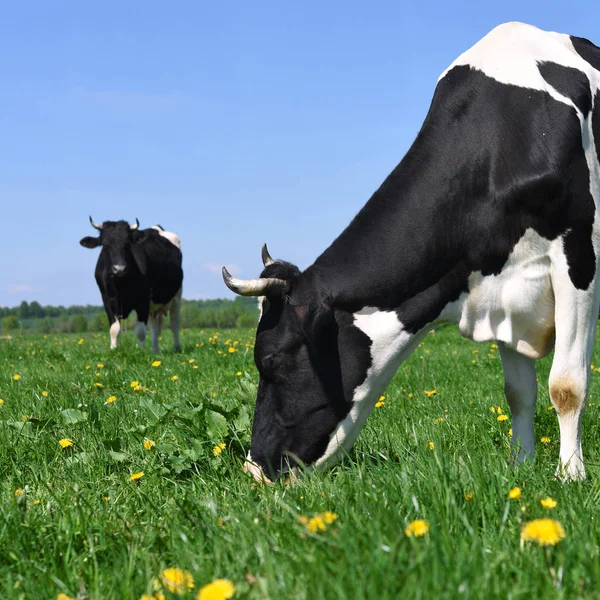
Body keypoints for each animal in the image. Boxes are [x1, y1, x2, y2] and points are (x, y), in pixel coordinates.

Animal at [79, 219, 183, 352]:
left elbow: (140, 331)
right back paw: (155, 351)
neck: (120, 287)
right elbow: (114, 329)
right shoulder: (107, 301)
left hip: (177, 295)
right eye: (105, 245)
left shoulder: (143, 300)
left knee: (174, 322)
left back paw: (177, 348)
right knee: (154, 326)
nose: (119, 269)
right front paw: (113, 350)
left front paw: (142, 352)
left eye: (127, 244)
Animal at [223, 22, 600, 482]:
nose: (255, 469)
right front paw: (521, 465)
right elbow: (518, 392)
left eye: (271, 361)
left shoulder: (578, 255)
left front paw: (570, 476)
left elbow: (566, 386)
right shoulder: (504, 289)